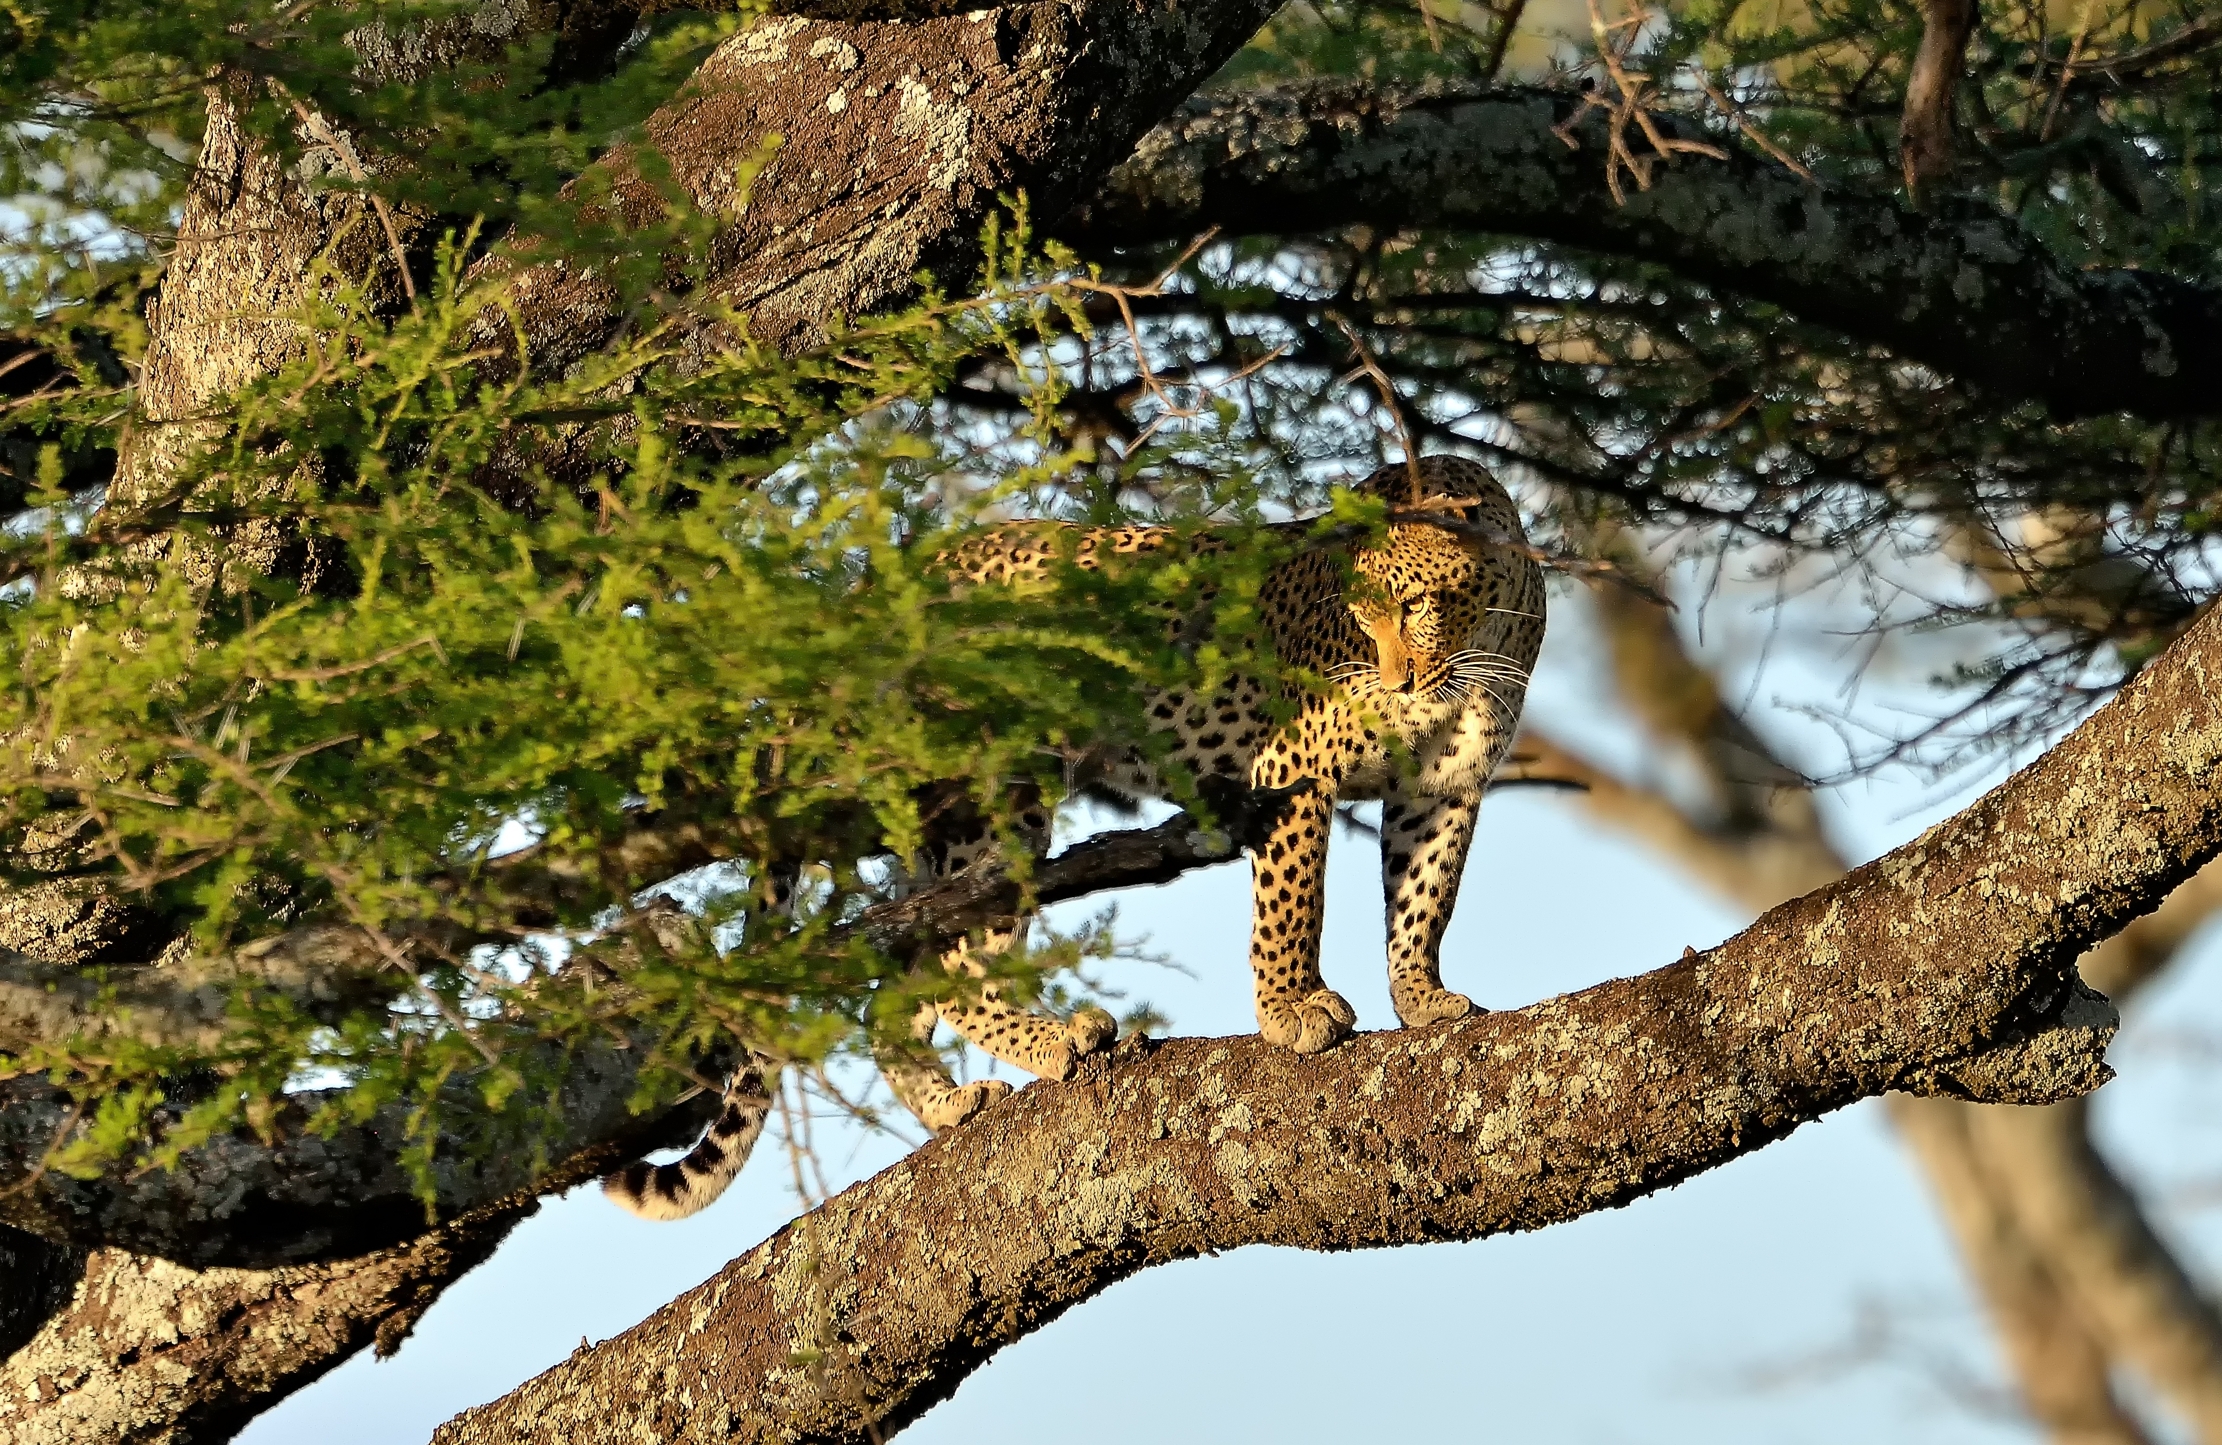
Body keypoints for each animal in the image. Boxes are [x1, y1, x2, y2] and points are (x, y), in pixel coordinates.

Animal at [605, 455, 1546, 1220]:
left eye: (1414, 604)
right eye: (1360, 612)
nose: (1396, 678)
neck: (1478, 639)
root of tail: (879, 590)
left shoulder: (1443, 790)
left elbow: (1424, 898)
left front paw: (1421, 995)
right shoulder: (1292, 768)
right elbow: (1294, 904)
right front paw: (1291, 1009)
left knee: (895, 984)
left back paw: (952, 1100)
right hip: (992, 795)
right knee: (949, 962)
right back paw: (1056, 1037)